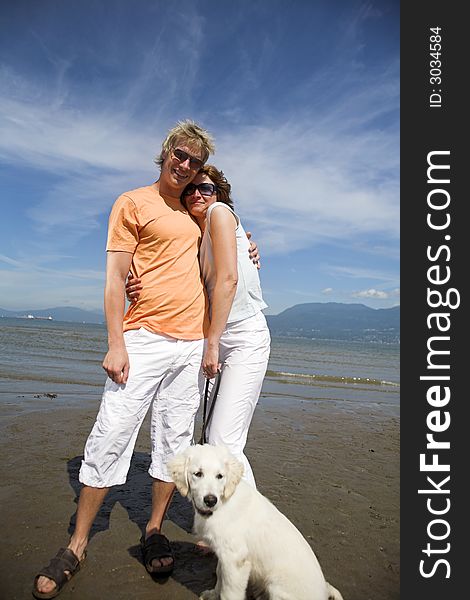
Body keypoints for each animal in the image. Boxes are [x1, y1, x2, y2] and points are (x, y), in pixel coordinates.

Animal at [168, 442, 342, 596]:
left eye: (220, 476)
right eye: (198, 474)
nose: (210, 501)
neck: (223, 504)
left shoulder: (236, 559)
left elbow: (229, 592)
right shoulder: (225, 555)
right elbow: (220, 576)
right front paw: (213, 594)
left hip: (276, 585)